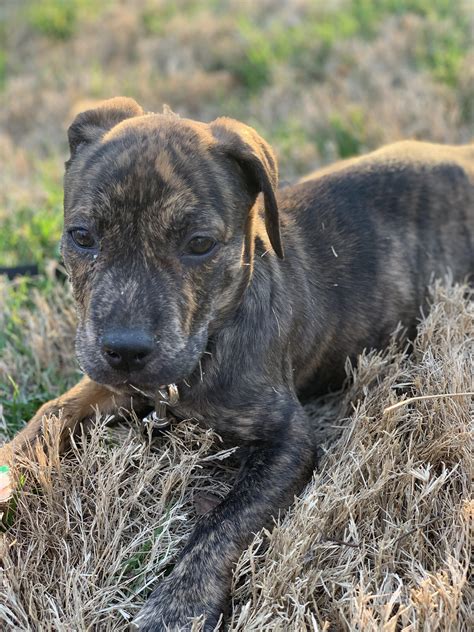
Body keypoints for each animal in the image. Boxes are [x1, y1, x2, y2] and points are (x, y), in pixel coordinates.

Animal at [1, 96, 472, 628]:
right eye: (82, 236)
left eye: (200, 244)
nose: (125, 350)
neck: (212, 340)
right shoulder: (110, 384)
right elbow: (49, 415)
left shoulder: (289, 439)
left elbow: (227, 520)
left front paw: (178, 605)